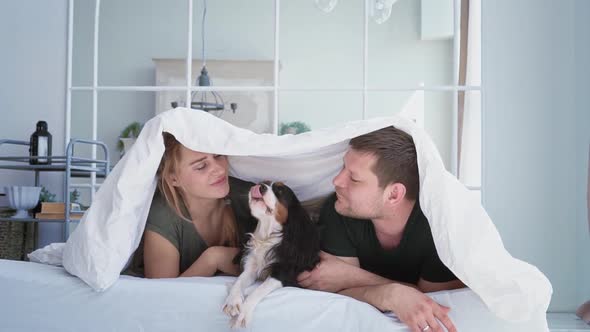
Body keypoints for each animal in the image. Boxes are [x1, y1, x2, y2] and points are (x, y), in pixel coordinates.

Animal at [224, 180, 322, 328]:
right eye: (263, 183)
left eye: (280, 190)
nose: (260, 187)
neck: (266, 237)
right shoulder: (251, 268)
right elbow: (239, 281)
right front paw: (233, 302)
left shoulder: (282, 273)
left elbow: (257, 290)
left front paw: (243, 314)